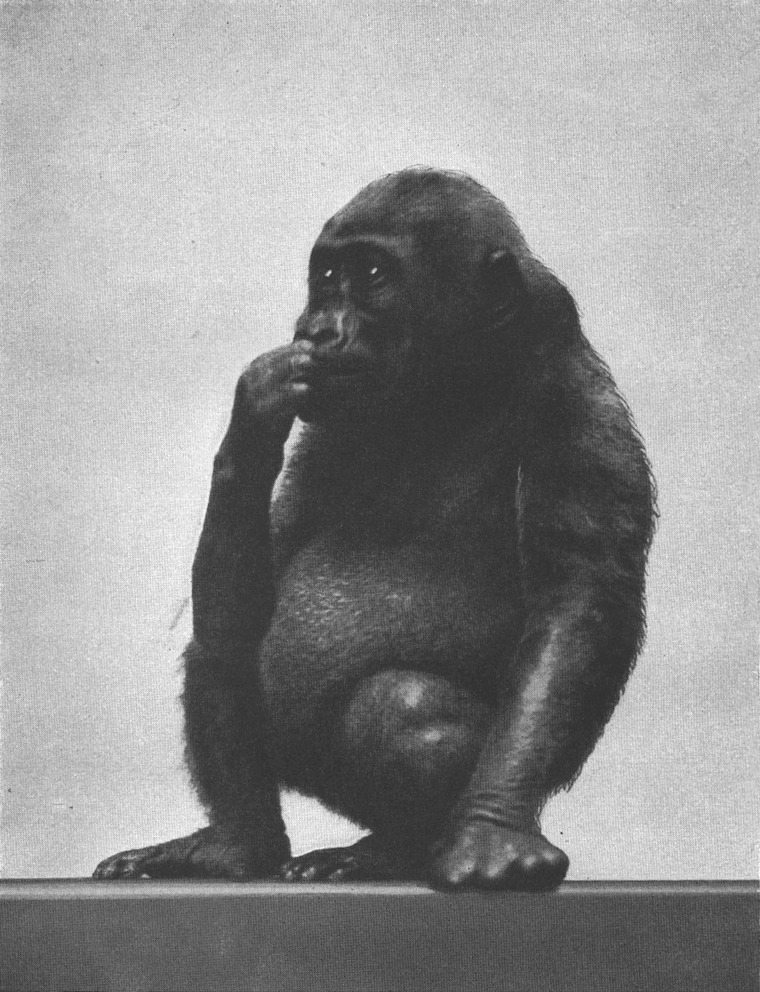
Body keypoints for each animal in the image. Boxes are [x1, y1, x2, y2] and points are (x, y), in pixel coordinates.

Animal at [94, 168, 655, 891]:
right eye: (327, 275)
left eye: (371, 274)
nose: (318, 327)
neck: (451, 384)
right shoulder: (330, 420)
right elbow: (251, 595)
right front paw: (254, 412)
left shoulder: (567, 388)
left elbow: (577, 603)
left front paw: (491, 832)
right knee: (218, 645)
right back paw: (238, 844)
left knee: (408, 709)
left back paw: (396, 848)